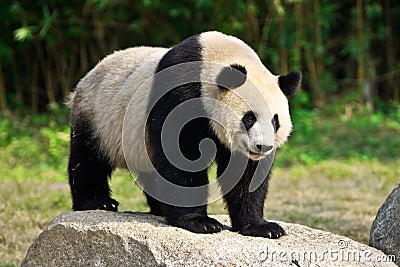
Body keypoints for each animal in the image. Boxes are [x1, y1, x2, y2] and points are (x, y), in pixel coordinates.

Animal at [68, 30, 300, 239]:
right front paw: (200, 222)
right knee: (88, 159)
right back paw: (98, 202)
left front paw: (261, 226)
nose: (263, 147)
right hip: (98, 115)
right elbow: (181, 157)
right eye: (250, 118)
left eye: (275, 121)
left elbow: (246, 176)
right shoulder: (181, 95)